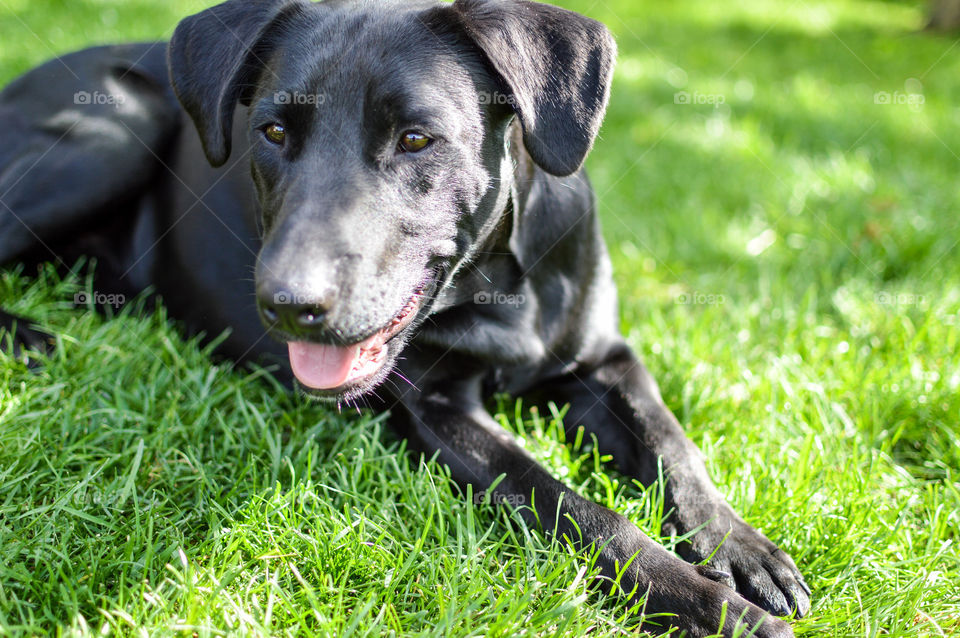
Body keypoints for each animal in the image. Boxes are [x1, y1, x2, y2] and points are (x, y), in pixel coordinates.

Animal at [0, 2, 808, 636]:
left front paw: (739, 551)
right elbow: (579, 508)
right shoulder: (439, 410)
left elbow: (671, 444)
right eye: (271, 132)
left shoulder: (604, 358)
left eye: (417, 139)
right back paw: (25, 334)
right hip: (114, 130)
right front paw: (717, 611)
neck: (497, 289)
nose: (288, 304)